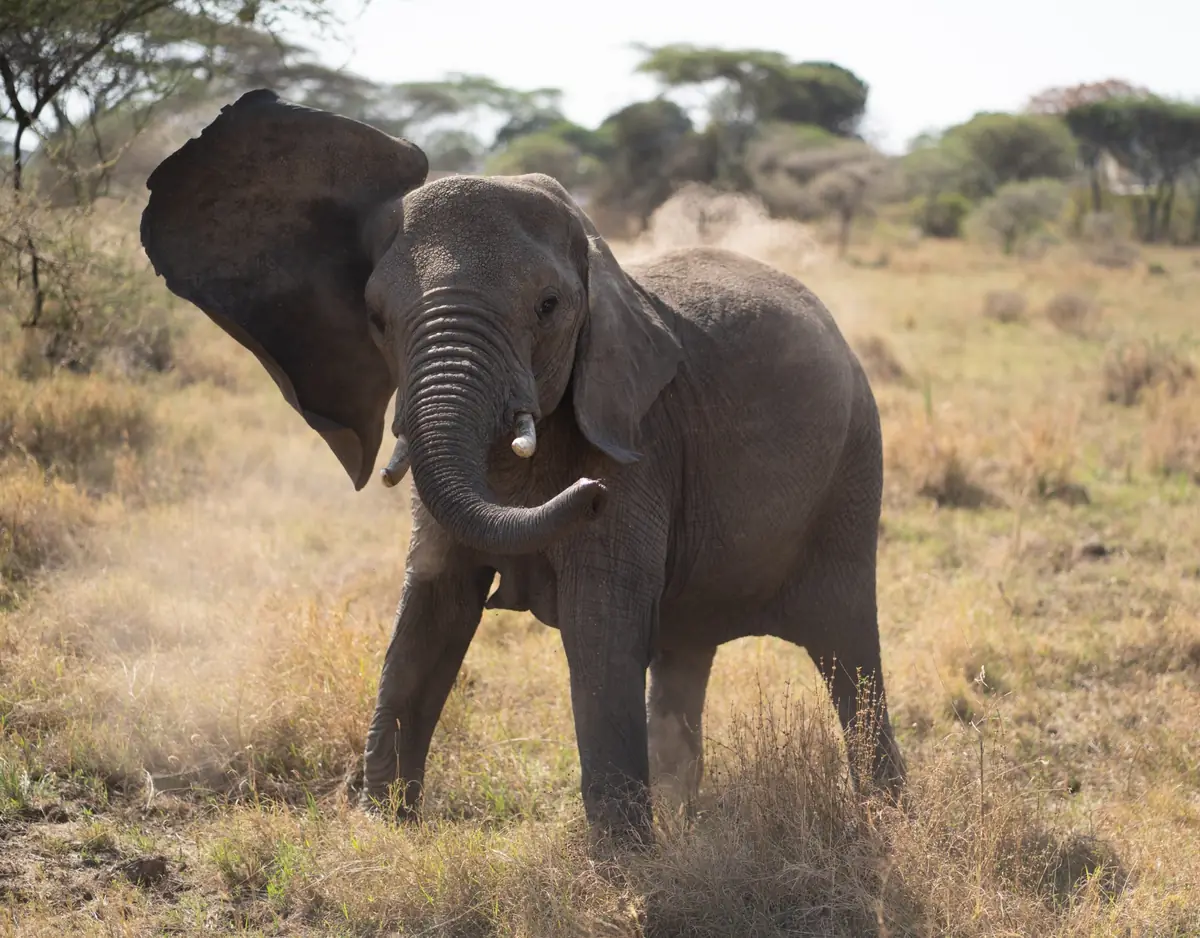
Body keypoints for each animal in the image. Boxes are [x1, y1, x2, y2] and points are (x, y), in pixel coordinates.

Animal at [139, 89, 905, 846]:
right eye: (376, 319)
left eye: (548, 306)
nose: (591, 490)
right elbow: (432, 607)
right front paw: (379, 828)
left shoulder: (638, 436)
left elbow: (601, 624)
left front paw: (625, 863)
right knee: (687, 649)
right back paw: (684, 819)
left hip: (853, 466)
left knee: (847, 649)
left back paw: (887, 818)